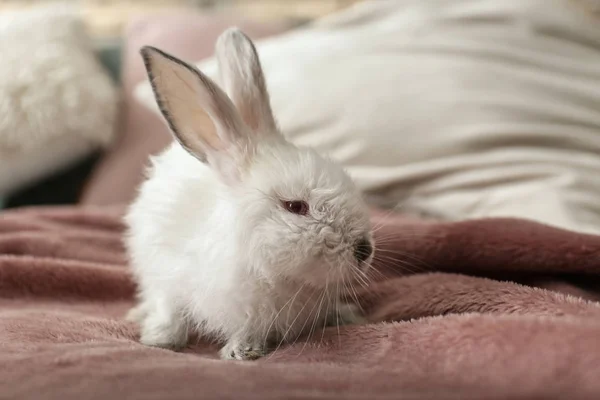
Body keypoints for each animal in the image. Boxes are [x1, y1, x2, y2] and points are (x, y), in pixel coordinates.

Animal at [124, 26, 372, 360]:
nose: (365, 250)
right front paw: (160, 339)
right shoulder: (167, 276)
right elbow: (170, 311)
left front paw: (244, 350)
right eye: (295, 206)